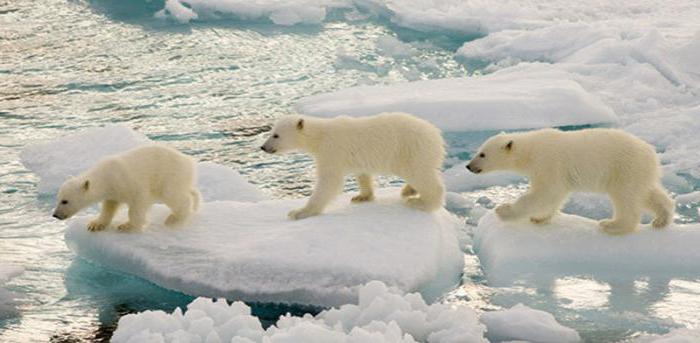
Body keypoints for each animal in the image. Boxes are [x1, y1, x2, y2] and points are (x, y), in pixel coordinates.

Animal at [51, 144, 200, 231]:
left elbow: (138, 202)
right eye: (57, 198)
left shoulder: (128, 182)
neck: (107, 176)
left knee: (174, 196)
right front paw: (95, 224)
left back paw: (174, 219)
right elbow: (109, 207)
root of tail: (189, 161)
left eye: (65, 201)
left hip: (169, 175)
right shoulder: (112, 192)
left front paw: (127, 225)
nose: (55, 215)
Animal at [260, 113, 446, 220]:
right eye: (271, 132)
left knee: (421, 175)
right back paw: (409, 190)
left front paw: (299, 212)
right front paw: (362, 197)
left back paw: (420, 202)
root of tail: (436, 136)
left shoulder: (332, 151)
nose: (263, 147)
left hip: (410, 149)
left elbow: (328, 182)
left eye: (276, 135)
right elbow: (362, 174)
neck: (320, 136)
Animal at [468, 127, 676, 235]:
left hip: (624, 168)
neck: (531, 150)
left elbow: (544, 192)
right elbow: (555, 195)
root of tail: (652, 154)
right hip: (638, 172)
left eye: (482, 154)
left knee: (626, 198)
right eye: (478, 150)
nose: (469, 166)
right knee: (648, 193)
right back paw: (661, 219)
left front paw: (503, 210)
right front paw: (540, 217)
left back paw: (612, 225)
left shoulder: (548, 162)